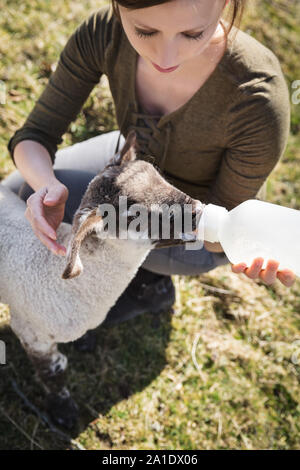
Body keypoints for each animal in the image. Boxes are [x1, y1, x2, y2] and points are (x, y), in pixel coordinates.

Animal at [0, 129, 204, 430]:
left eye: (157, 174)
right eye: (133, 215)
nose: (197, 210)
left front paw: (85, 342)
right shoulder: (31, 332)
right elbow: (54, 372)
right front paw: (64, 412)